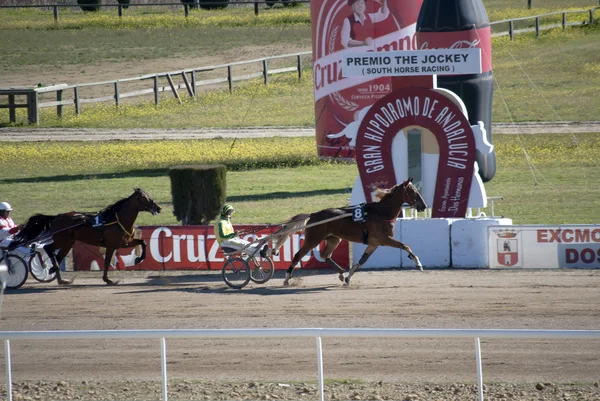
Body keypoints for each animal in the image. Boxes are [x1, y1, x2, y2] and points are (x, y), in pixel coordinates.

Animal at [13, 188, 161, 284]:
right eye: (145, 198)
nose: (158, 208)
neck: (117, 220)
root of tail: (56, 217)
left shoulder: (125, 242)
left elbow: (143, 242)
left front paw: (138, 259)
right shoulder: (113, 245)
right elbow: (107, 261)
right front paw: (108, 280)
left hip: (69, 243)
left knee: (58, 256)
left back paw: (61, 278)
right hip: (62, 240)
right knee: (49, 248)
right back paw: (53, 268)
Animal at [280, 177, 426, 284]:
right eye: (412, 191)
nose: (423, 206)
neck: (381, 213)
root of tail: (314, 214)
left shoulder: (374, 243)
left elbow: (362, 261)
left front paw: (348, 277)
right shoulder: (384, 239)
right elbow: (405, 245)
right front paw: (418, 264)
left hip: (334, 239)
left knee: (325, 255)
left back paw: (341, 273)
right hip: (313, 239)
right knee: (298, 255)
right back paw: (287, 278)